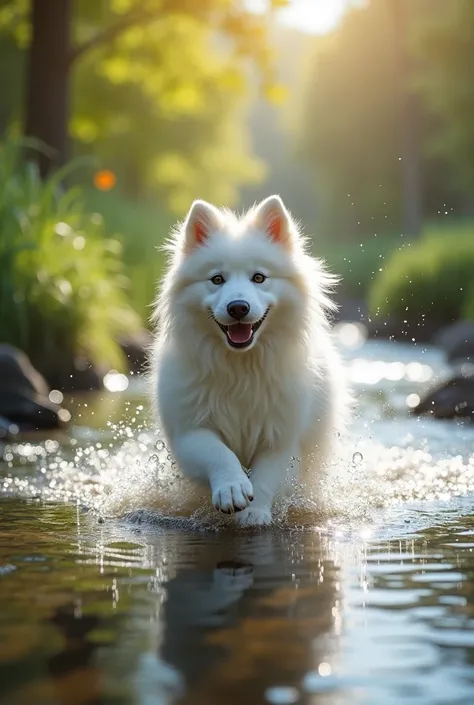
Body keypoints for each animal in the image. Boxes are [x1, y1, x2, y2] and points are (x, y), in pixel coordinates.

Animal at [150, 195, 350, 524]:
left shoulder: (281, 437)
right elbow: (218, 453)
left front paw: (255, 513)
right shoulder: (190, 431)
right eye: (217, 279)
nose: (238, 307)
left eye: (259, 278)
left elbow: (267, 476)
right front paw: (231, 488)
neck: (241, 366)